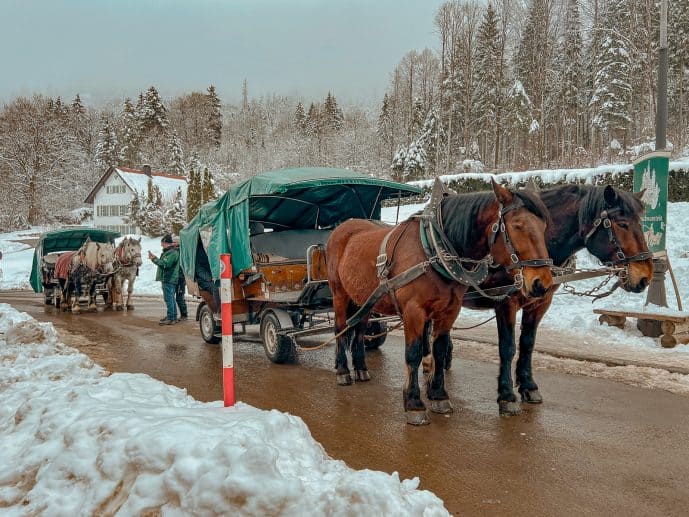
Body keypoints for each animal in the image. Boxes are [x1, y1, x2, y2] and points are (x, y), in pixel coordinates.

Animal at [324, 180, 552, 424]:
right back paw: (343, 371)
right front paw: (414, 402)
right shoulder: (414, 311)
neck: (434, 249)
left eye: (544, 226)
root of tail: (342, 227)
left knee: (359, 329)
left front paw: (438, 395)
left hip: (364, 298)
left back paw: (360, 368)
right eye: (518, 225)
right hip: (339, 293)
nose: (542, 282)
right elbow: (413, 353)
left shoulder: (449, 310)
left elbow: (440, 351)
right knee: (341, 328)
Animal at [460, 183, 652, 414]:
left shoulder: (540, 303)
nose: (645, 276)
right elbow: (507, 347)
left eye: (640, 223)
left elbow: (528, 343)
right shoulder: (505, 302)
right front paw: (506, 395)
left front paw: (528, 386)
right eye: (622, 224)